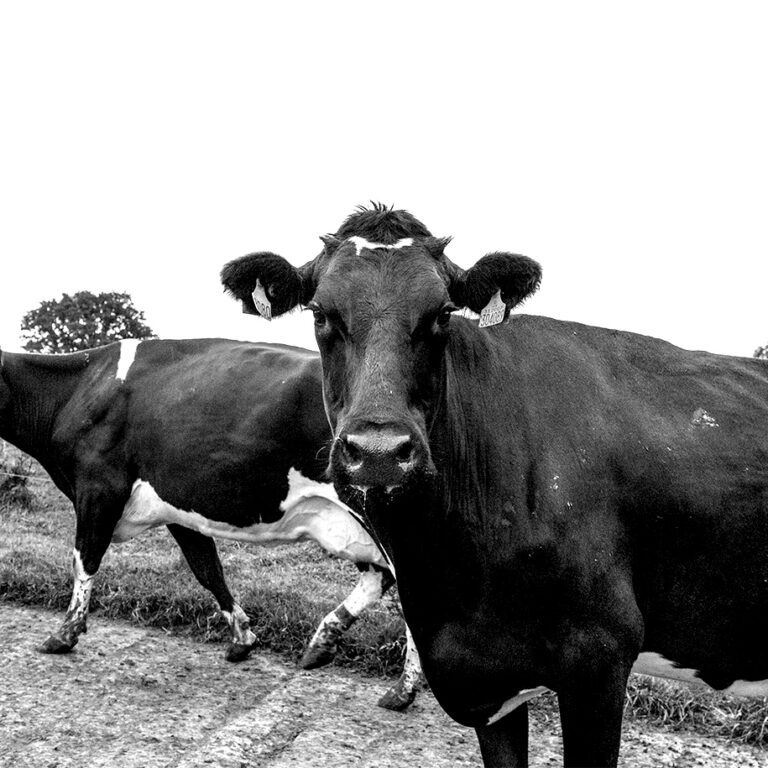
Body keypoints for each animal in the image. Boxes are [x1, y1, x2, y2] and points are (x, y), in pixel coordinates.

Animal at [0, 337, 422, 711]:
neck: (78, 388)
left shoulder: (98, 489)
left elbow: (83, 560)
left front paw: (64, 633)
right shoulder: (178, 510)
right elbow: (207, 570)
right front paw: (242, 638)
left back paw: (402, 691)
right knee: (379, 577)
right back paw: (322, 643)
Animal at [221, 203, 768, 767]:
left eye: (442, 313)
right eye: (319, 314)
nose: (379, 454)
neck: (446, 577)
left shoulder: (600, 657)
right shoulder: (482, 681)